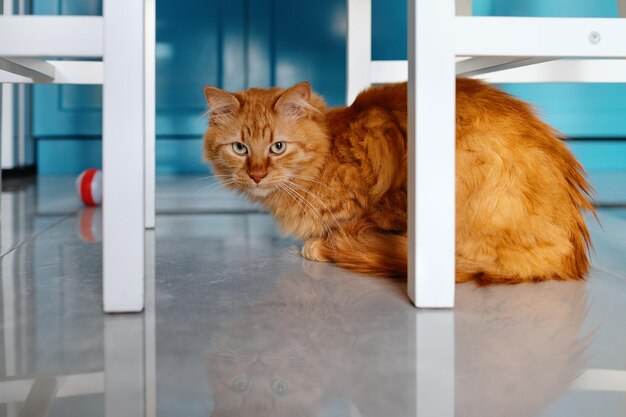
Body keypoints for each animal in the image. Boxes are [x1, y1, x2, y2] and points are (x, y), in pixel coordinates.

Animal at [202, 78, 592, 282]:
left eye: (278, 147)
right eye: (239, 148)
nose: (256, 174)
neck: (328, 152)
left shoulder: (384, 186)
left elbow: (349, 224)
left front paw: (318, 245)